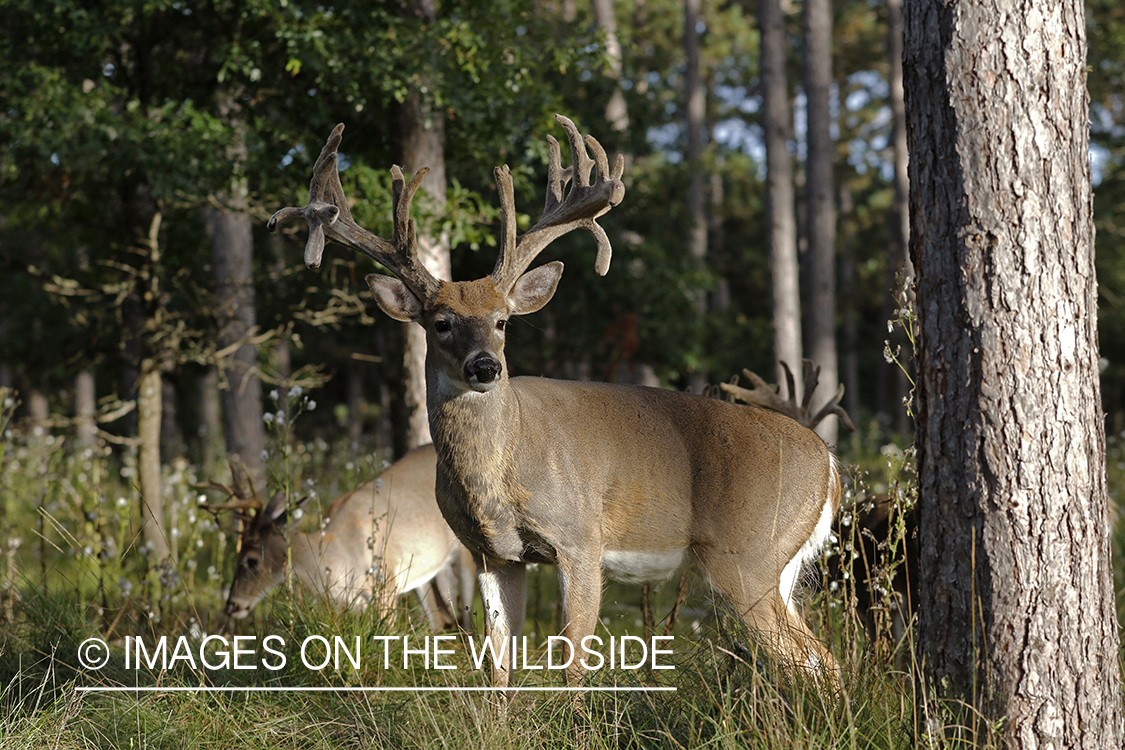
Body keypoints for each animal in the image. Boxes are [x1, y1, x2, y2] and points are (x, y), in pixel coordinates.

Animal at [267, 115, 841, 688]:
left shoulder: (580, 537)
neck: (500, 476)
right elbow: (498, 662)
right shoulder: (492, 553)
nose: (485, 367)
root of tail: (830, 464)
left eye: (502, 321)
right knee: (818, 659)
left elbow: (571, 662)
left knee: (819, 659)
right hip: (775, 567)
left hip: (747, 556)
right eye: (441, 322)